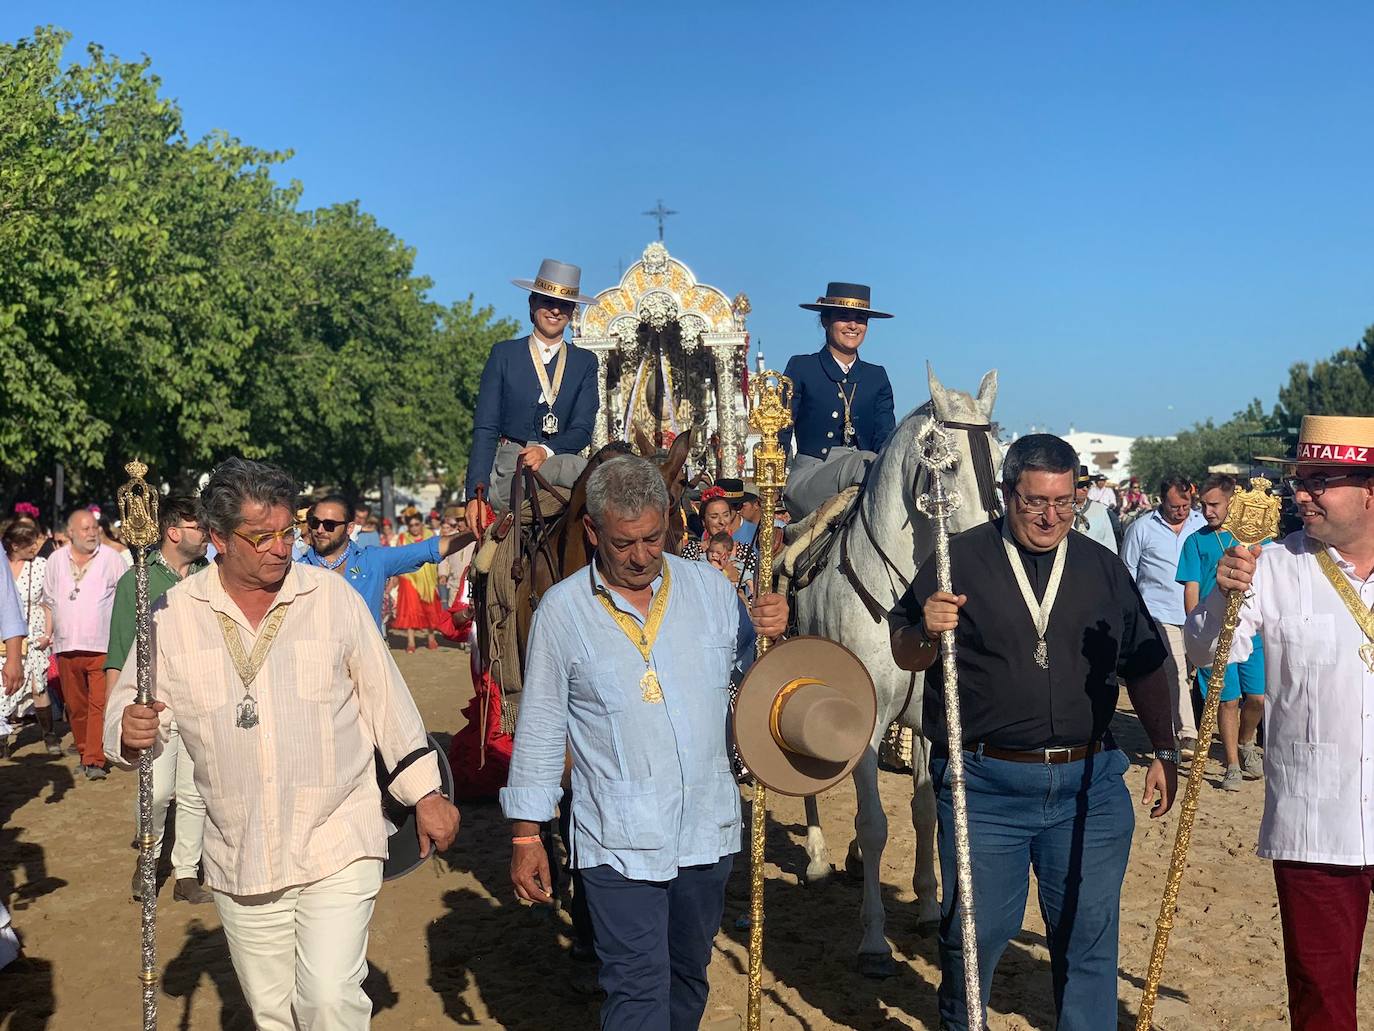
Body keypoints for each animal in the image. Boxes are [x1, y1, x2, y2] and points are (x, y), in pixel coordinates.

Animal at [796, 368, 1000, 978]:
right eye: (948, 464)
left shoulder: (928, 725)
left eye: (1001, 458)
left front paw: (931, 908)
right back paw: (817, 859)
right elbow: (874, 823)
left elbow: (925, 813)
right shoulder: (864, 723)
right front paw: (873, 941)